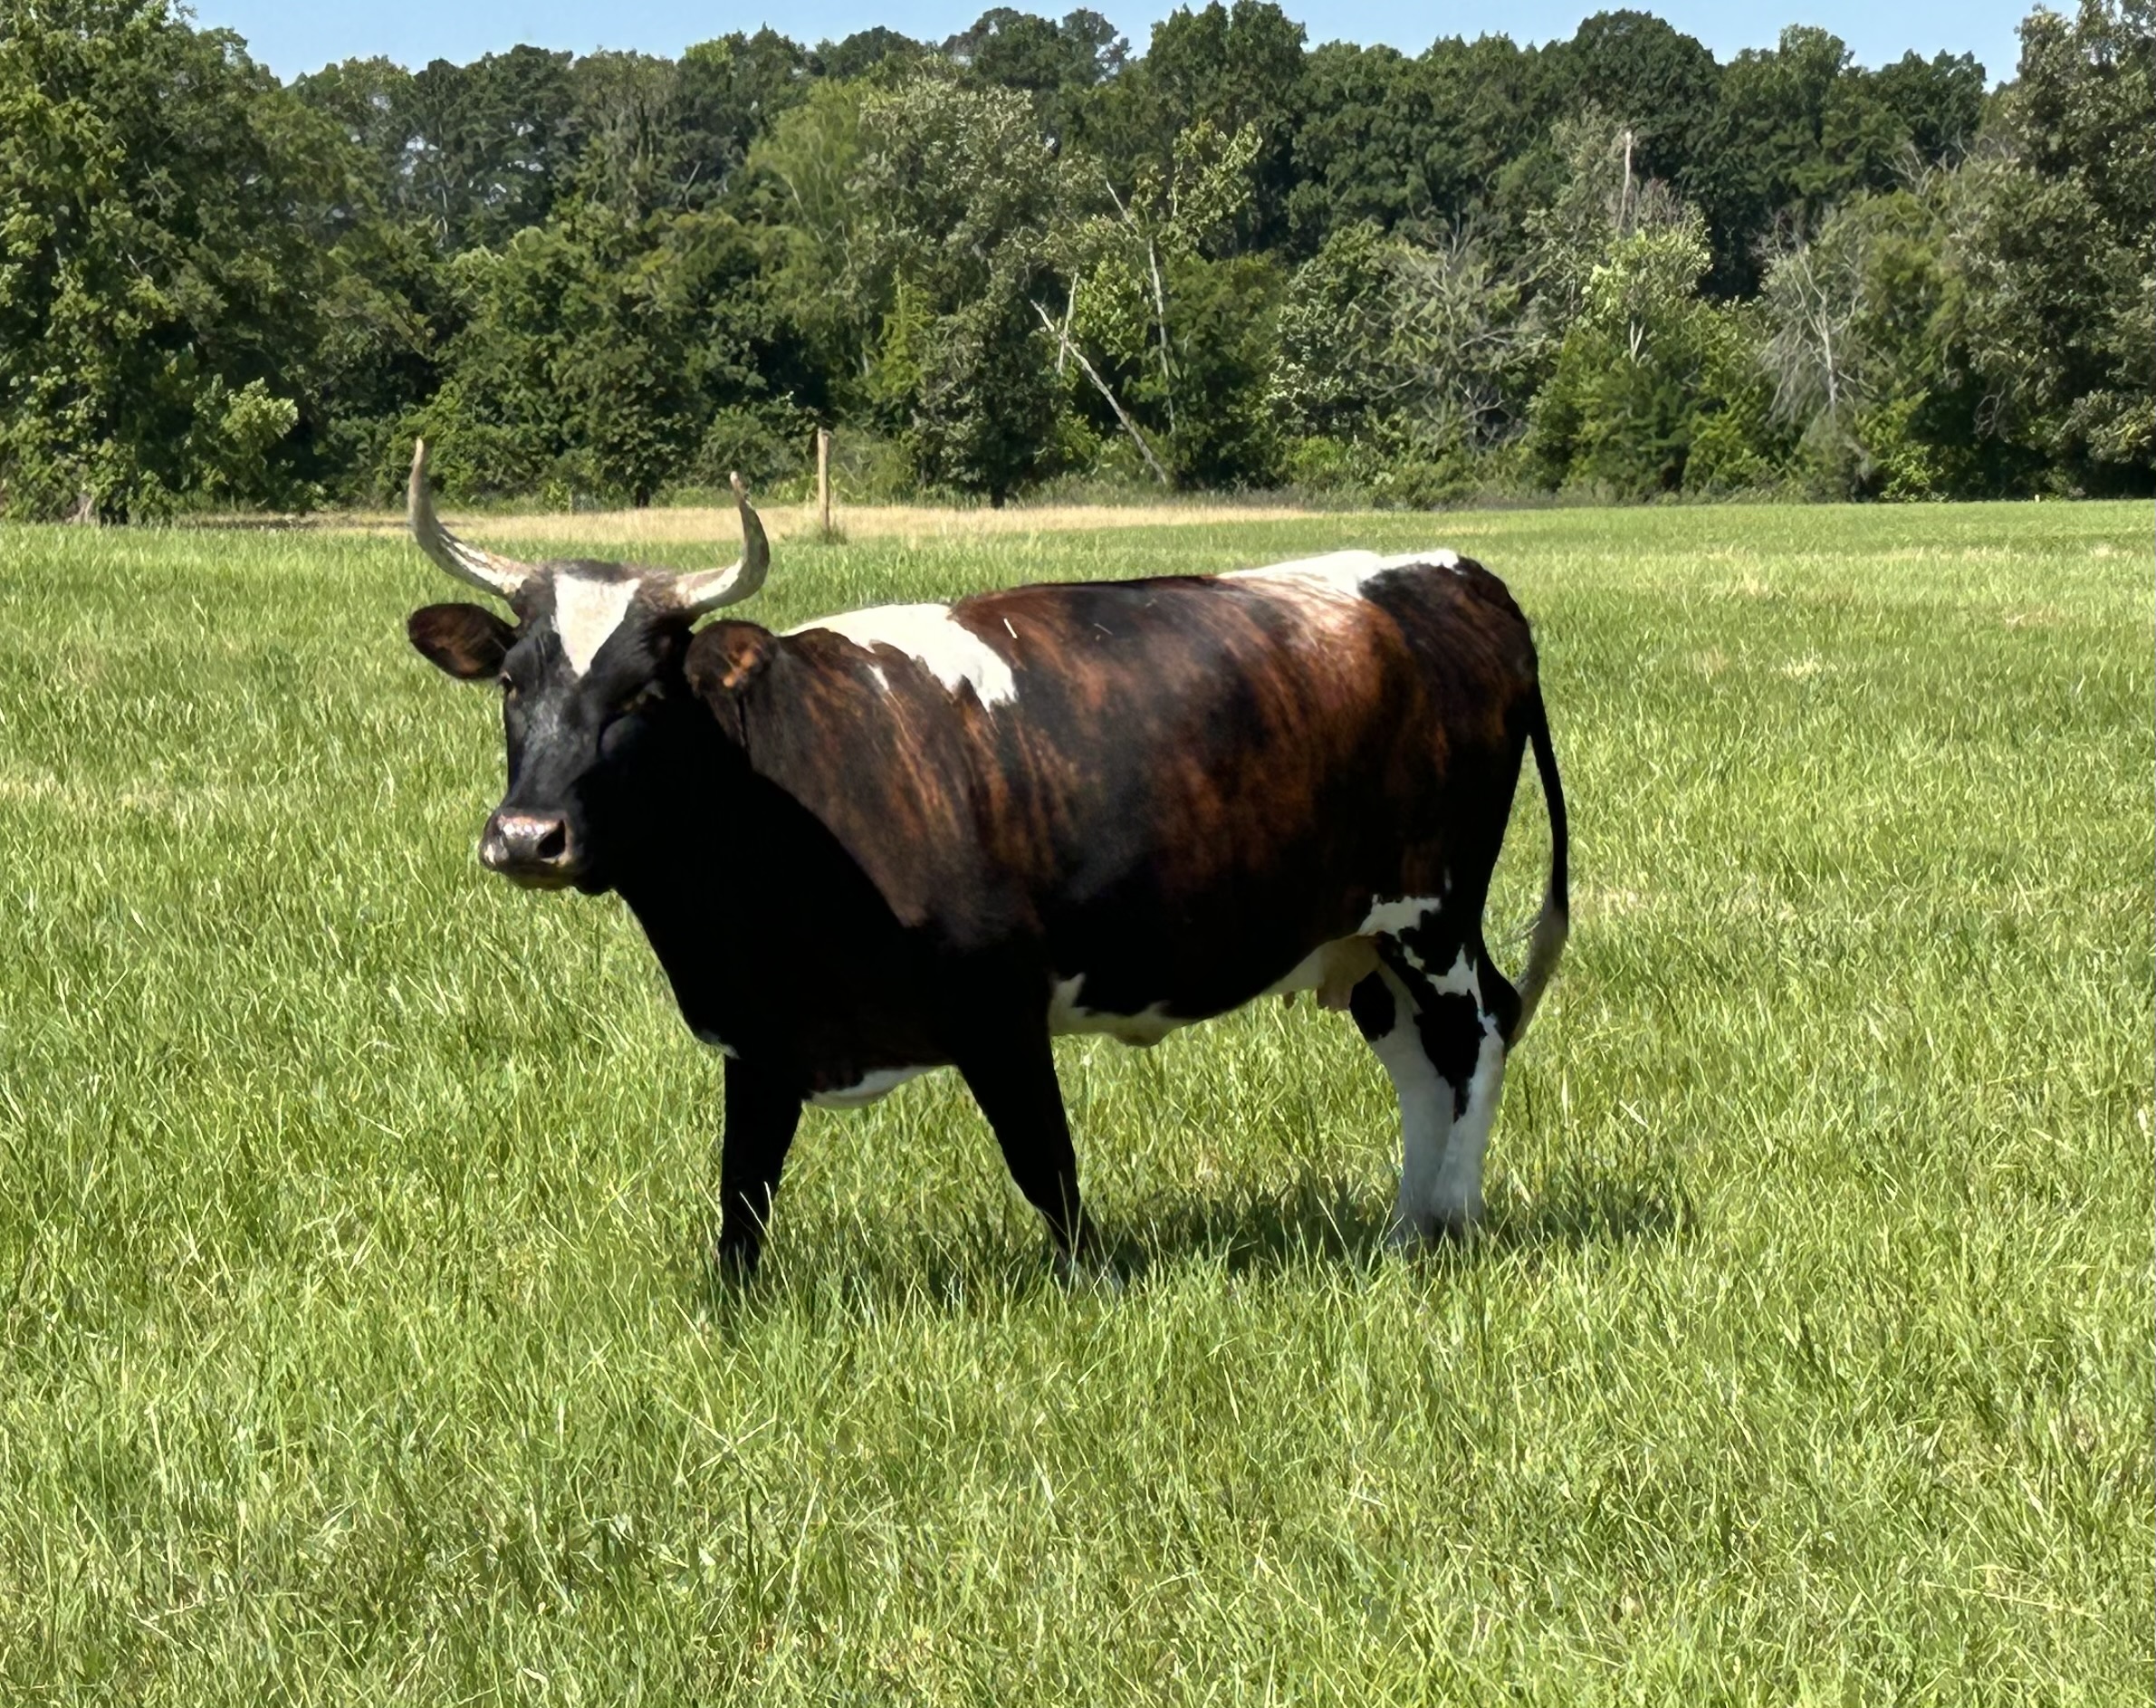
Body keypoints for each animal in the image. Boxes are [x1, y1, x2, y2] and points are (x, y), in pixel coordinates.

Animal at [401, 442, 1568, 1276]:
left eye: (643, 695)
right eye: (511, 682)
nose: (526, 835)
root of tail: (1452, 574)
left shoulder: (1001, 1008)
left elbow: (1044, 1166)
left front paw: (1093, 1285)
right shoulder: (759, 1033)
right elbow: (742, 1197)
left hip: (1430, 913)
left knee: (1476, 1031)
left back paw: (1449, 1219)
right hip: (1358, 936)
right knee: (1413, 1054)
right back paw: (1402, 1232)